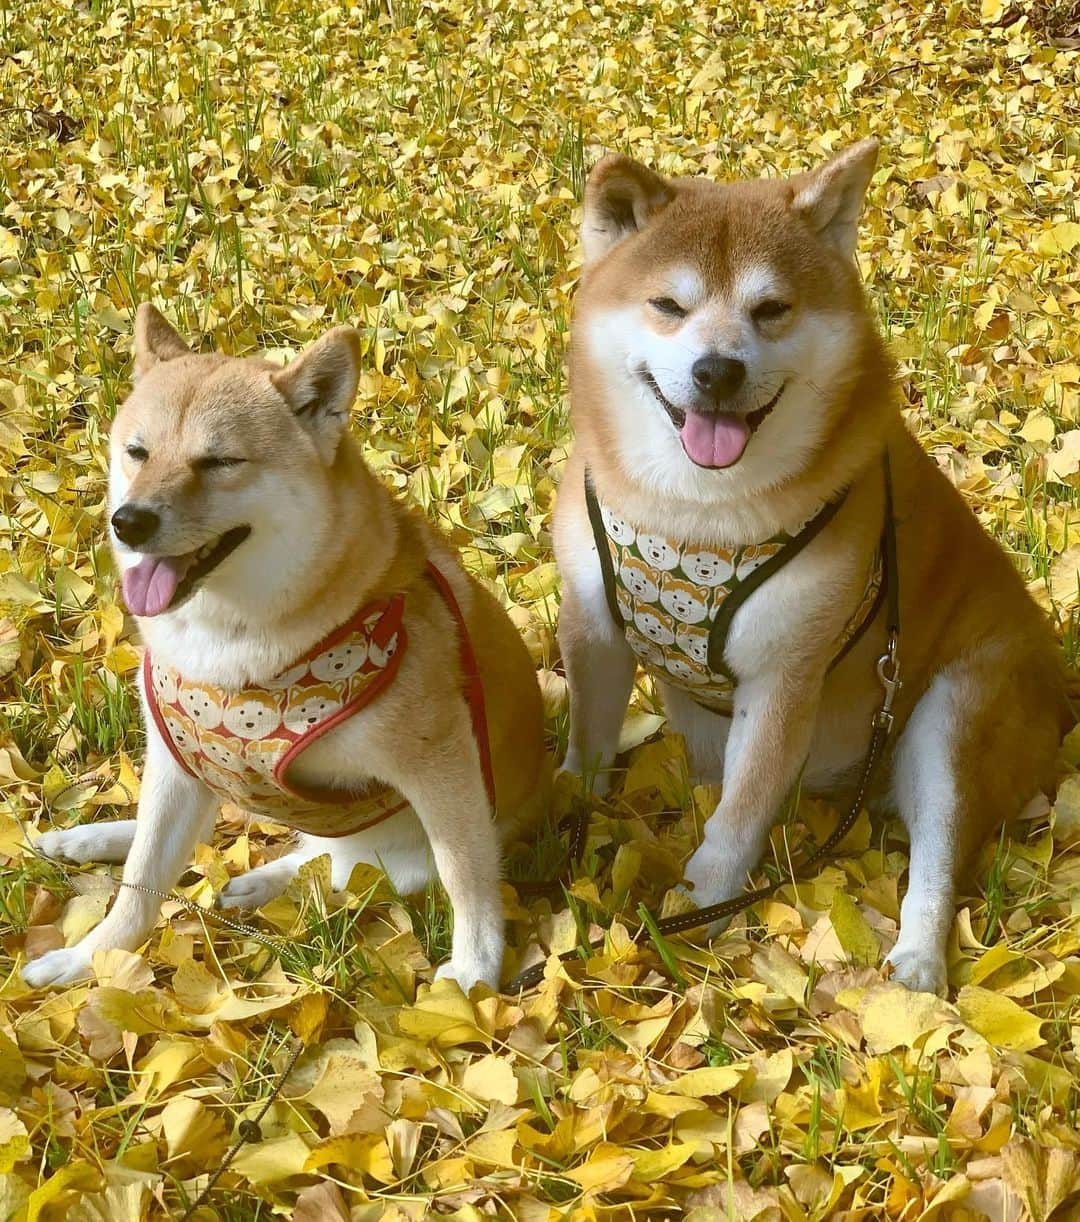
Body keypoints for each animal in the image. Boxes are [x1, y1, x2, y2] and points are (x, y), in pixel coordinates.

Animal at [23, 303, 547, 992]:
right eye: (137, 452)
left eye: (219, 461)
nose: (129, 521)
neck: (233, 648)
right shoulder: (176, 760)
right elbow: (140, 883)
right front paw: (93, 957)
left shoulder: (440, 764)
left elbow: (468, 878)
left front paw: (472, 976)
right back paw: (90, 840)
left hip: (403, 851)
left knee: (337, 864)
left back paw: (258, 883)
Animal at [557, 140, 1070, 992]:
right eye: (668, 306)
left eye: (772, 310)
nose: (718, 370)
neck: (691, 514)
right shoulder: (594, 632)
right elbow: (588, 748)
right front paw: (568, 820)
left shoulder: (783, 676)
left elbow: (737, 819)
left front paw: (700, 906)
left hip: (952, 714)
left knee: (938, 858)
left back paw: (917, 960)